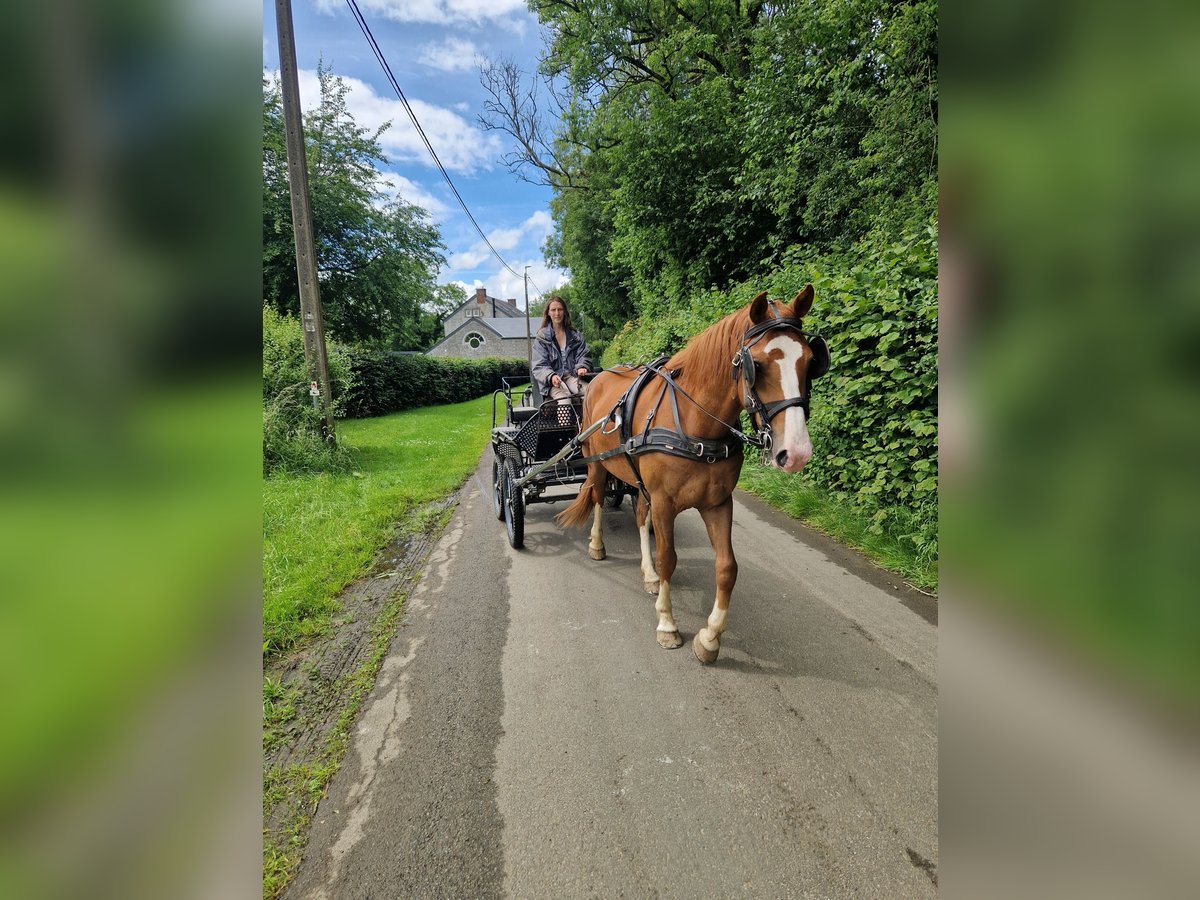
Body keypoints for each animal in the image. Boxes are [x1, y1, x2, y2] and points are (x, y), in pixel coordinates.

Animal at [556, 285, 830, 667]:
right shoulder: (665, 503)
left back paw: (648, 575)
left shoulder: (717, 503)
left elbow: (727, 567)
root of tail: (597, 377)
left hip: (639, 482)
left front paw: (710, 638)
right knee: (596, 498)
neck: (694, 421)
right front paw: (667, 625)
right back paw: (597, 546)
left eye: (809, 360)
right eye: (757, 365)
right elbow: (668, 558)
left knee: (639, 516)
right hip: (597, 464)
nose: (797, 452)